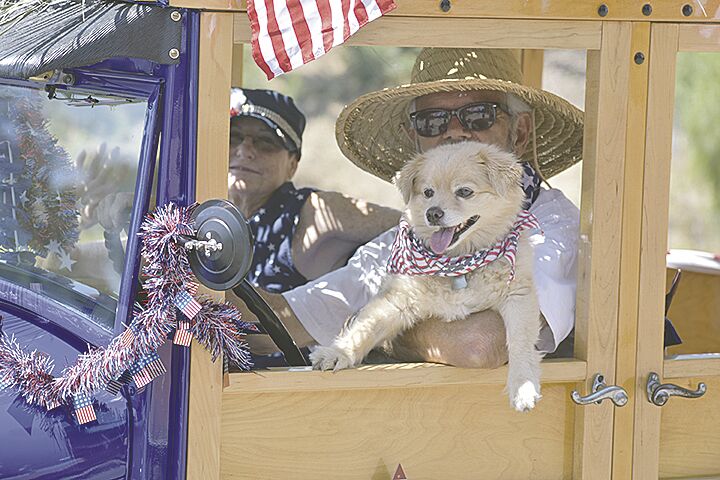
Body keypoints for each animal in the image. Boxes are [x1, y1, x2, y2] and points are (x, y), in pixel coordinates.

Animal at [310, 142, 540, 412]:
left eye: (464, 192)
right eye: (428, 192)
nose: (433, 213)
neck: (459, 263)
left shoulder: (518, 297)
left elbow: (520, 342)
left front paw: (523, 386)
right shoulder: (397, 300)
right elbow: (365, 328)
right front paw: (337, 353)